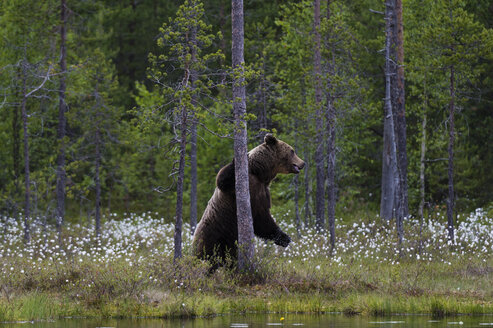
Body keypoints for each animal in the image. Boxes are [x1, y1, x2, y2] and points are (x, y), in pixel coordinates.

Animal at [192, 135, 304, 268]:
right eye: (292, 151)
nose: (303, 163)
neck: (260, 173)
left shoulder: (262, 192)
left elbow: (263, 219)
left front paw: (284, 238)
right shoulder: (236, 186)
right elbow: (221, 179)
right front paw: (236, 159)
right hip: (213, 234)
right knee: (208, 256)